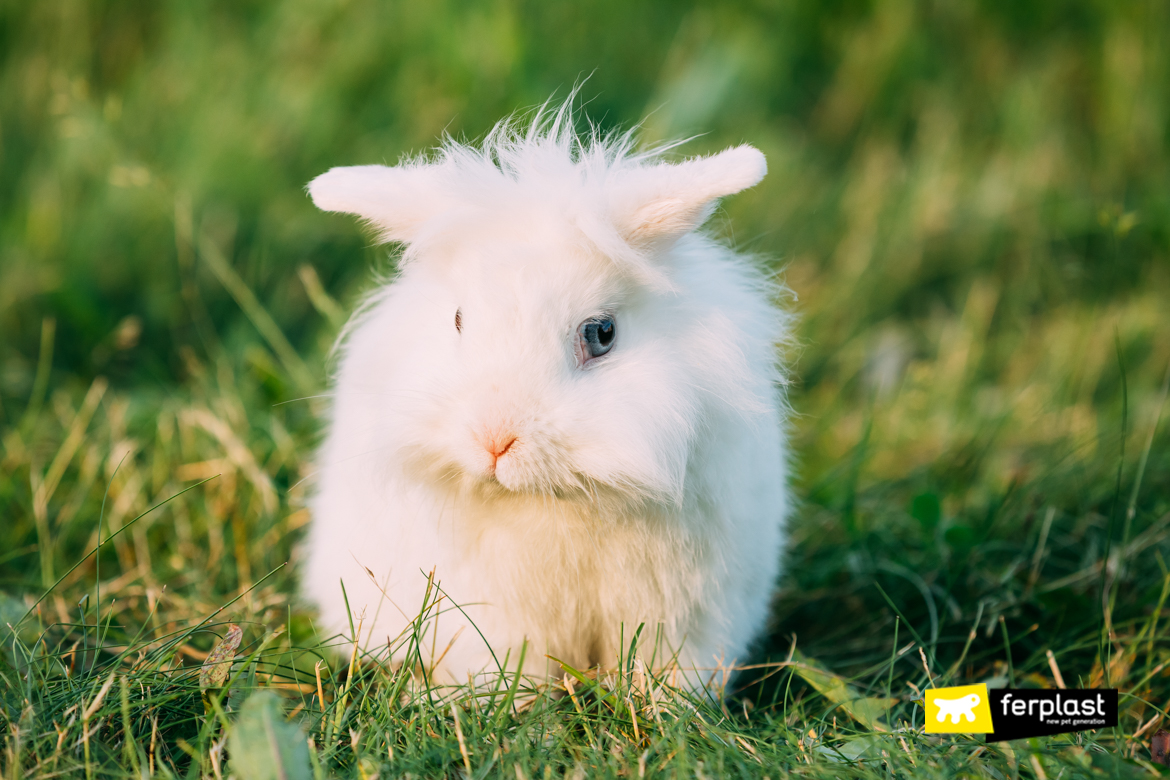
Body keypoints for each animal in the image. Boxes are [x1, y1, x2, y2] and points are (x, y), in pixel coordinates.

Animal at [306, 107, 790, 692]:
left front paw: (667, 706)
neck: (558, 497)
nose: (495, 439)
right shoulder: (489, 615)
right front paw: (508, 705)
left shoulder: (684, 613)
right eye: (458, 319)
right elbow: (507, 666)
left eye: (602, 333)